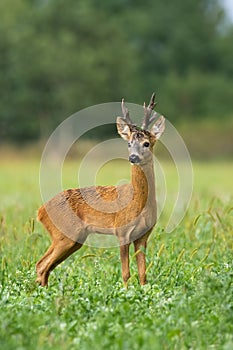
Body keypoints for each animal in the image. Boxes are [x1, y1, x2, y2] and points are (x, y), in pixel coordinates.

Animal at [35, 93, 165, 288]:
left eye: (147, 143)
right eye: (129, 143)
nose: (133, 157)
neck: (139, 202)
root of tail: (40, 210)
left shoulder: (143, 236)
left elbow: (143, 275)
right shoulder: (121, 231)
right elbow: (126, 273)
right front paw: (125, 292)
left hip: (72, 239)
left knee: (44, 266)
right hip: (65, 235)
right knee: (42, 265)